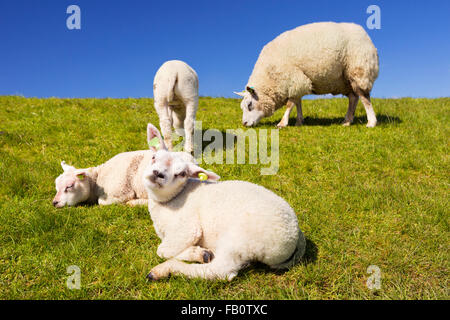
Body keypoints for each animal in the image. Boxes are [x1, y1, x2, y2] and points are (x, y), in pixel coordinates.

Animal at [142, 124, 308, 282]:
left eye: (182, 174)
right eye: (154, 157)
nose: (158, 174)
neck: (171, 200)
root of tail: (295, 235)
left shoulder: (186, 229)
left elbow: (163, 250)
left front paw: (196, 253)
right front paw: (200, 253)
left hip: (240, 239)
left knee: (221, 270)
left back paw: (163, 270)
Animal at [236, 21, 380, 129]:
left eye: (249, 104)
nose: (244, 124)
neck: (269, 75)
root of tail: (364, 34)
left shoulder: (293, 79)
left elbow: (290, 104)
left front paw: (282, 123)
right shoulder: (297, 82)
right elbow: (297, 102)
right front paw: (299, 121)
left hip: (359, 68)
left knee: (364, 97)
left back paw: (371, 122)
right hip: (344, 80)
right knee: (353, 98)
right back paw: (347, 121)